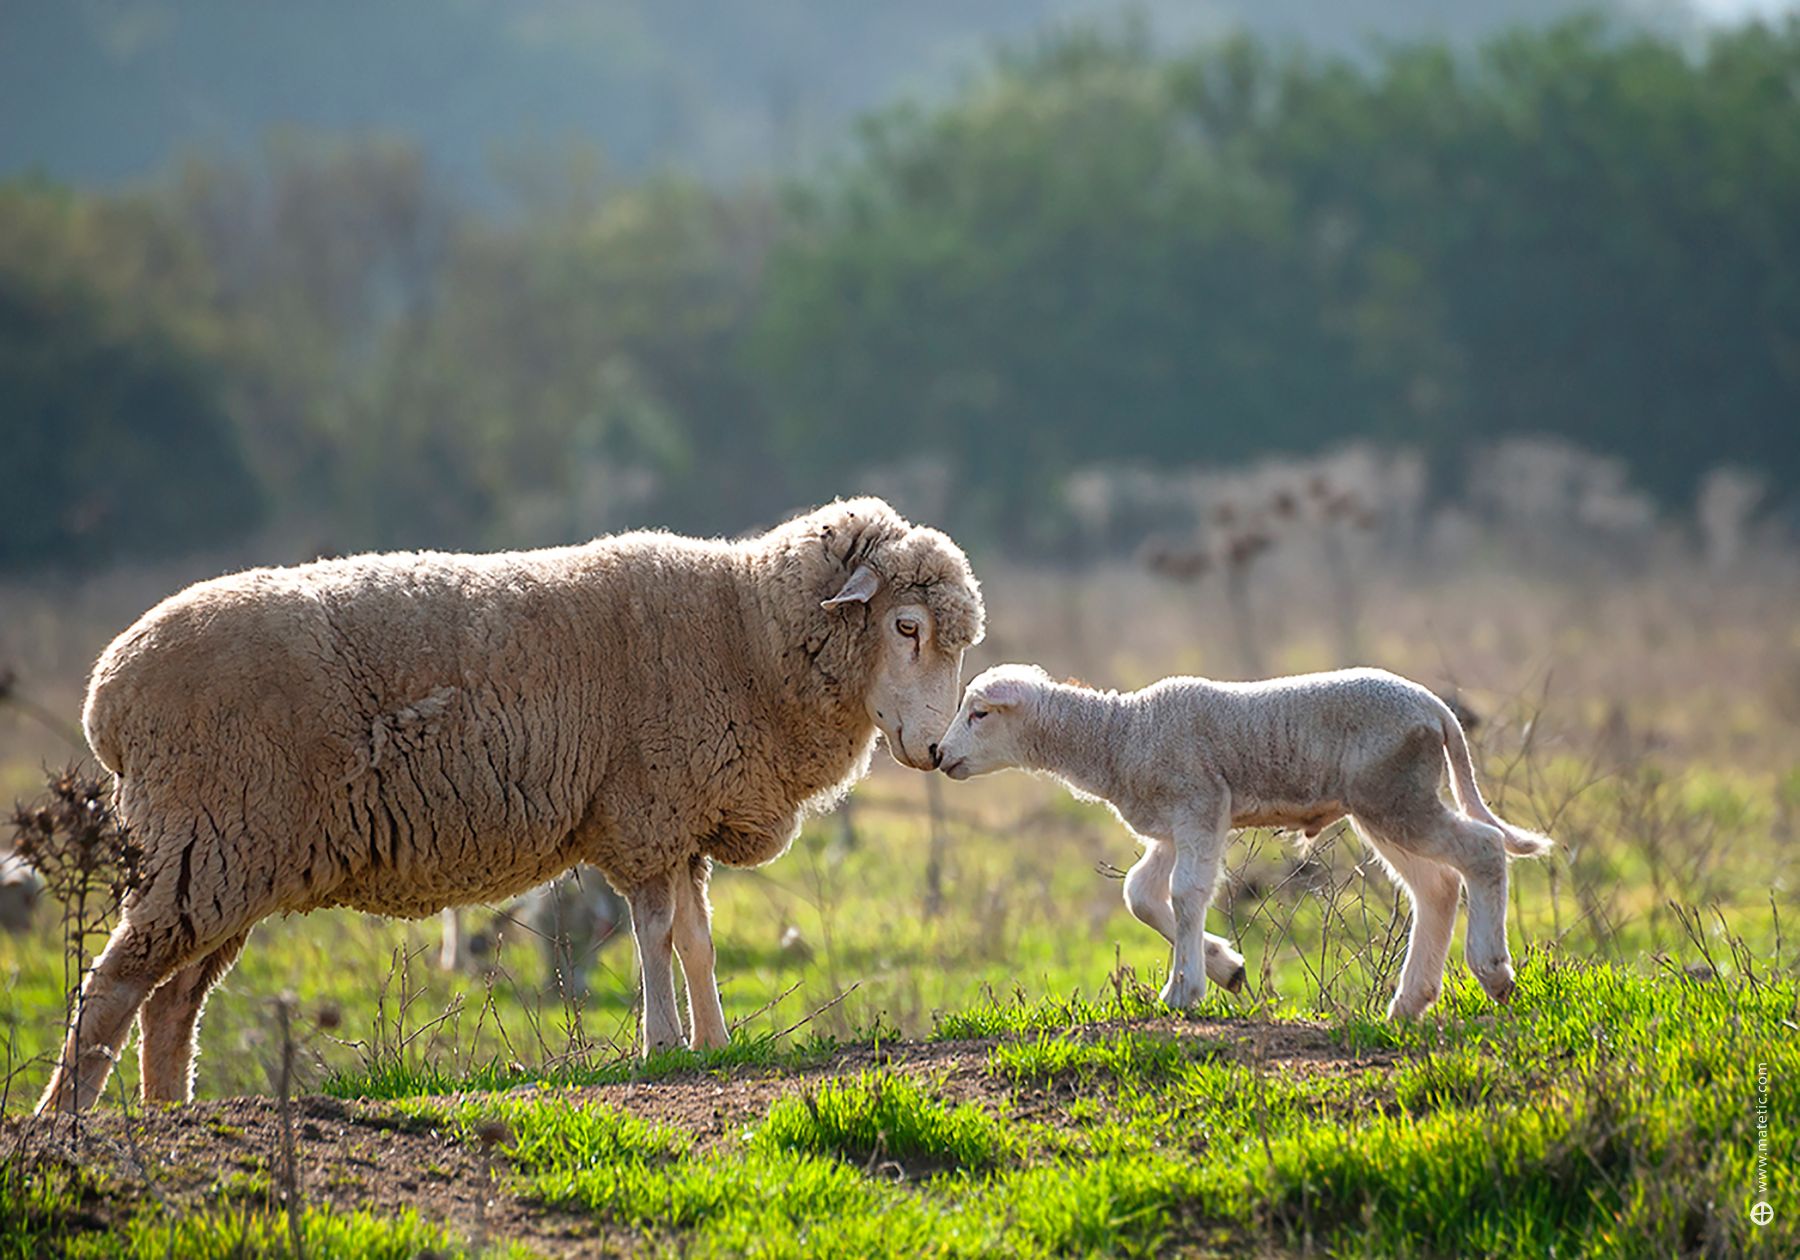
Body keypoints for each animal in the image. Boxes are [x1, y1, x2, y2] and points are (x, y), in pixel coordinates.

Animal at [39, 496, 983, 1113]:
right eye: (905, 627)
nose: (935, 752)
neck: (743, 634)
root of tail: (106, 694)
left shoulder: (682, 821)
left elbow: (698, 941)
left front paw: (716, 1045)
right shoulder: (644, 811)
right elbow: (654, 937)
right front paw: (661, 1048)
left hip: (230, 863)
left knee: (171, 1005)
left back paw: (171, 1116)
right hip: (198, 845)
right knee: (112, 986)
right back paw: (68, 1123)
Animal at [931, 664, 1551, 1017]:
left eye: (979, 713)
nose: (939, 755)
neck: (1121, 735)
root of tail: (1437, 709)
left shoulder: (1199, 805)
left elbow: (1185, 895)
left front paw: (1182, 994)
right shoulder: (1173, 826)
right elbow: (1142, 894)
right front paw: (1224, 968)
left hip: (1395, 795)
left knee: (1481, 850)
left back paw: (1493, 972)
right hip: (1386, 801)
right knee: (1438, 886)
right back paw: (1408, 1003)